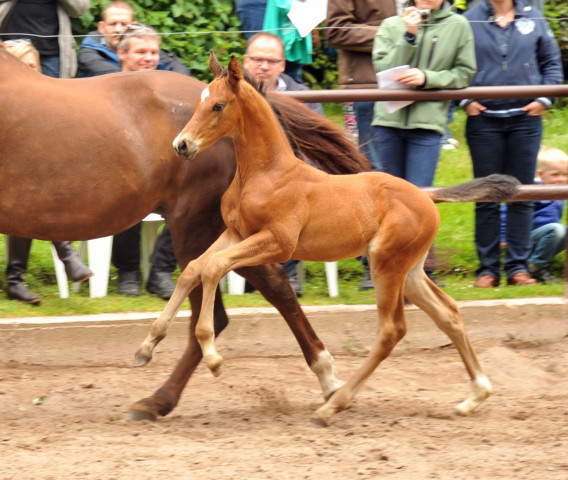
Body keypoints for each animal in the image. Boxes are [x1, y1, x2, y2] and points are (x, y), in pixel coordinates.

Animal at [143, 53, 520, 428]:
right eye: (199, 102)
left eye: (218, 105)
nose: (182, 145)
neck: (267, 173)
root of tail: (428, 197)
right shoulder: (236, 233)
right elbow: (195, 267)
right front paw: (148, 345)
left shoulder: (277, 242)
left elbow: (213, 268)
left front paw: (212, 355)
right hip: (410, 272)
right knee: (449, 313)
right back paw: (474, 397)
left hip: (386, 265)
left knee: (391, 330)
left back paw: (333, 405)